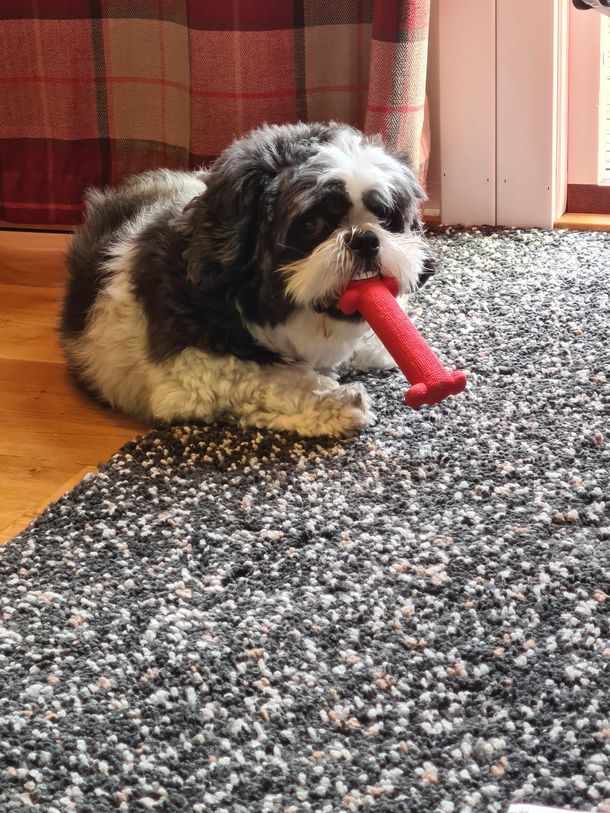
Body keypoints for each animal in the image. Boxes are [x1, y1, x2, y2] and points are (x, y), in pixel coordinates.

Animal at [59, 121, 432, 438]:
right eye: (311, 225)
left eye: (384, 216)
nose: (365, 239)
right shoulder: (187, 371)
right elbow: (266, 377)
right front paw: (333, 400)